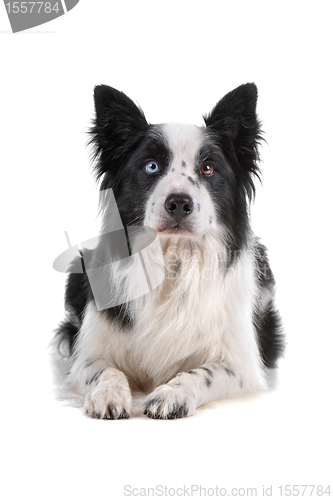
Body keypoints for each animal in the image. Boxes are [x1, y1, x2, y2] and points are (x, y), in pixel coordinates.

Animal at [55, 82, 282, 418]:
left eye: (207, 168)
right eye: (151, 166)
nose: (178, 203)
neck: (173, 259)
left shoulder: (242, 366)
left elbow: (203, 372)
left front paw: (172, 393)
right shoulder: (88, 354)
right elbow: (105, 369)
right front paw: (108, 393)